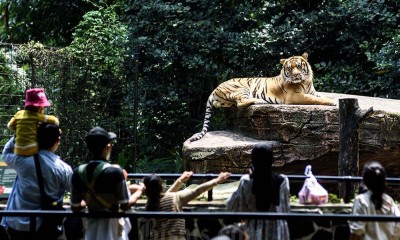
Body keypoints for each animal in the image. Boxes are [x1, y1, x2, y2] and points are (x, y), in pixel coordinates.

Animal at [189, 52, 336, 142]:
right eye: (289, 68)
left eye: (299, 66)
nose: (295, 76)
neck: (305, 82)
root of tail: (214, 89)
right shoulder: (295, 97)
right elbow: (317, 99)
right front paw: (333, 103)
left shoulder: (312, 91)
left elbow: (320, 96)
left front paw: (334, 99)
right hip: (240, 88)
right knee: (240, 102)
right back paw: (259, 101)